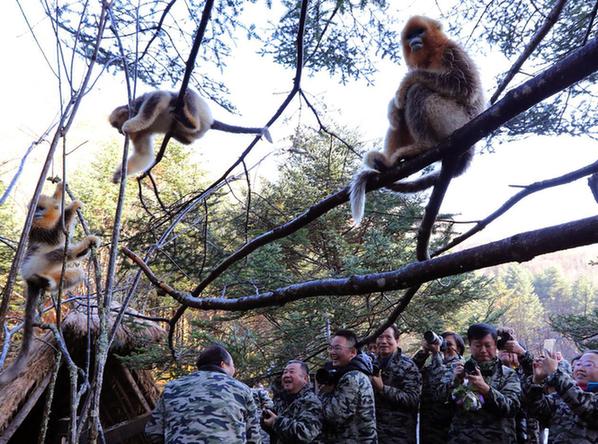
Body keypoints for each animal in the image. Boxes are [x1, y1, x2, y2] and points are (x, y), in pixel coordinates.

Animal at [0, 180, 98, 386]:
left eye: (41, 208)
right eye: (34, 208)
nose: (35, 214)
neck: (44, 221)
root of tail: (29, 278)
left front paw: (60, 189)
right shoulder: (35, 229)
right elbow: (56, 236)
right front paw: (71, 207)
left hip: (49, 270)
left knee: (76, 272)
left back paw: (52, 281)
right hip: (35, 263)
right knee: (60, 251)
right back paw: (79, 249)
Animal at [110, 88, 274, 182]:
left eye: (117, 126)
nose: (119, 132)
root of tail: (210, 120)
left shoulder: (139, 104)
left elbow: (160, 96)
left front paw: (128, 125)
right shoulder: (140, 133)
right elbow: (143, 154)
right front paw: (120, 173)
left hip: (199, 106)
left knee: (185, 93)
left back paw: (190, 121)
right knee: (189, 137)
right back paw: (181, 134)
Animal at [352, 16, 488, 225]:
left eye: (420, 32)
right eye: (410, 35)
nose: (414, 40)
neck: (431, 54)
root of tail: (470, 148)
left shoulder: (452, 51)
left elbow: (464, 86)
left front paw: (405, 83)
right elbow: (397, 106)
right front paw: (392, 104)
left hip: (455, 121)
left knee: (418, 91)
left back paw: (423, 146)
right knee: (399, 115)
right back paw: (386, 163)